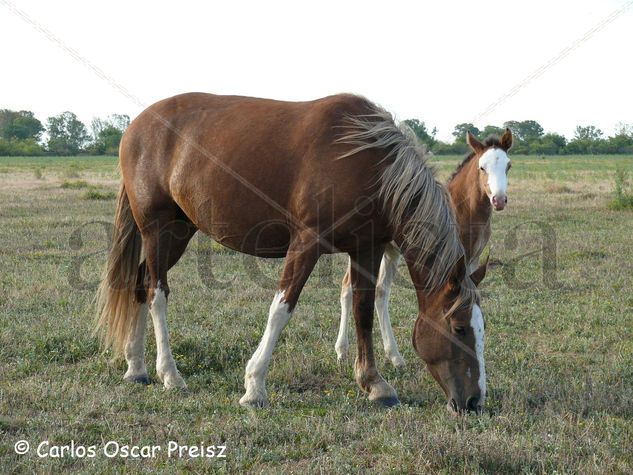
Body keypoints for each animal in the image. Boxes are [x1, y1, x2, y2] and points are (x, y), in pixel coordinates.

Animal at [96, 93, 486, 412]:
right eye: (459, 327)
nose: (474, 402)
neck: (367, 159)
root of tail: (136, 126)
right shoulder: (306, 242)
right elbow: (281, 309)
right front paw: (254, 386)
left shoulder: (367, 248)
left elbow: (362, 309)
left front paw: (375, 384)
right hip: (157, 230)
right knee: (156, 293)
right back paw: (170, 374)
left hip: (179, 230)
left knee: (139, 285)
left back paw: (136, 367)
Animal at [334, 130, 512, 368]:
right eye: (482, 167)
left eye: (508, 165)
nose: (499, 200)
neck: (462, 209)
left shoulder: (472, 260)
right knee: (347, 287)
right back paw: (342, 351)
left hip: (390, 251)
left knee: (380, 291)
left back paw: (394, 357)